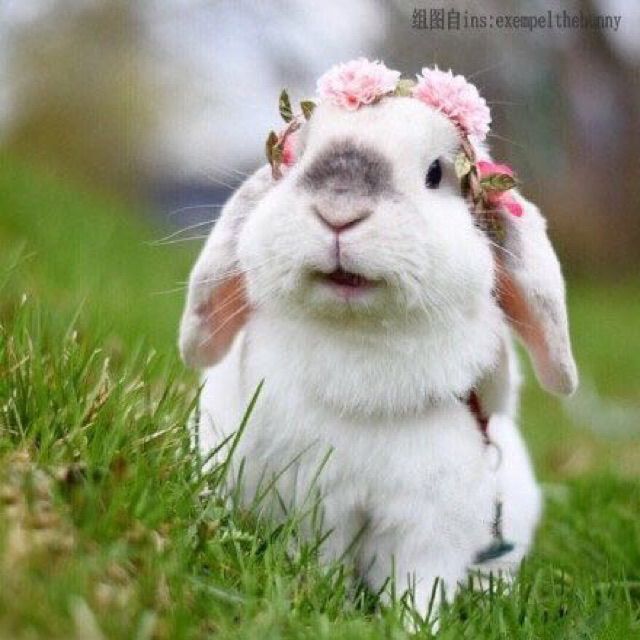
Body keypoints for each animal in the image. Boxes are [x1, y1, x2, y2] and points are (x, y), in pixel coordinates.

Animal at [179, 86, 577, 621]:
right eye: (303, 156)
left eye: (435, 173)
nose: (339, 211)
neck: (361, 342)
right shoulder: (315, 507)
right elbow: (320, 562)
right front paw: (321, 603)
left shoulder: (430, 529)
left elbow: (419, 586)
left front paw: (414, 625)